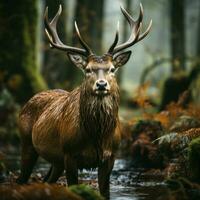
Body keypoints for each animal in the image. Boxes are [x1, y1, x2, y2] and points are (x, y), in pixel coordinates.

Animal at [16, 3, 152, 199]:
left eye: (112, 69)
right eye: (88, 69)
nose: (101, 84)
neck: (97, 136)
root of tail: (27, 102)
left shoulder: (110, 156)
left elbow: (105, 192)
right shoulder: (69, 153)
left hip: (55, 161)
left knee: (46, 180)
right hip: (27, 141)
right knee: (21, 179)